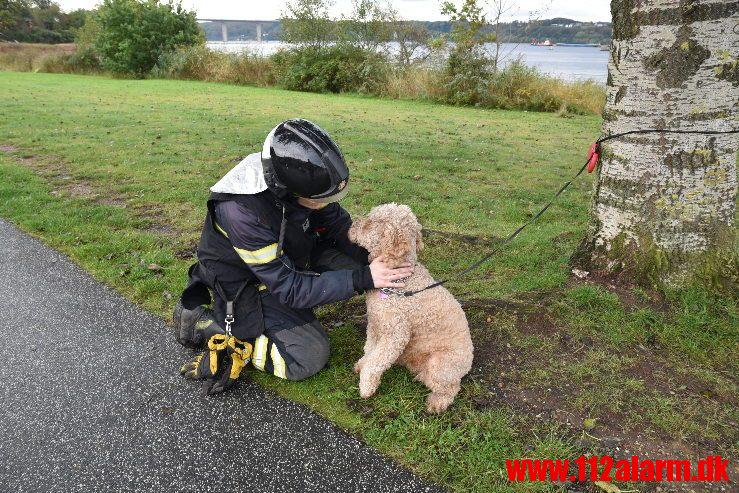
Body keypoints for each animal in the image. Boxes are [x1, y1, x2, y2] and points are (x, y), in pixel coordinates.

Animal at [348, 202, 474, 414]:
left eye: (372, 222)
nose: (351, 225)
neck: (400, 280)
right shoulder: (375, 324)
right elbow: (370, 349)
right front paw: (362, 364)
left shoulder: (396, 334)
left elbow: (376, 361)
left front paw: (366, 386)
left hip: (441, 364)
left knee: (451, 387)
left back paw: (436, 402)